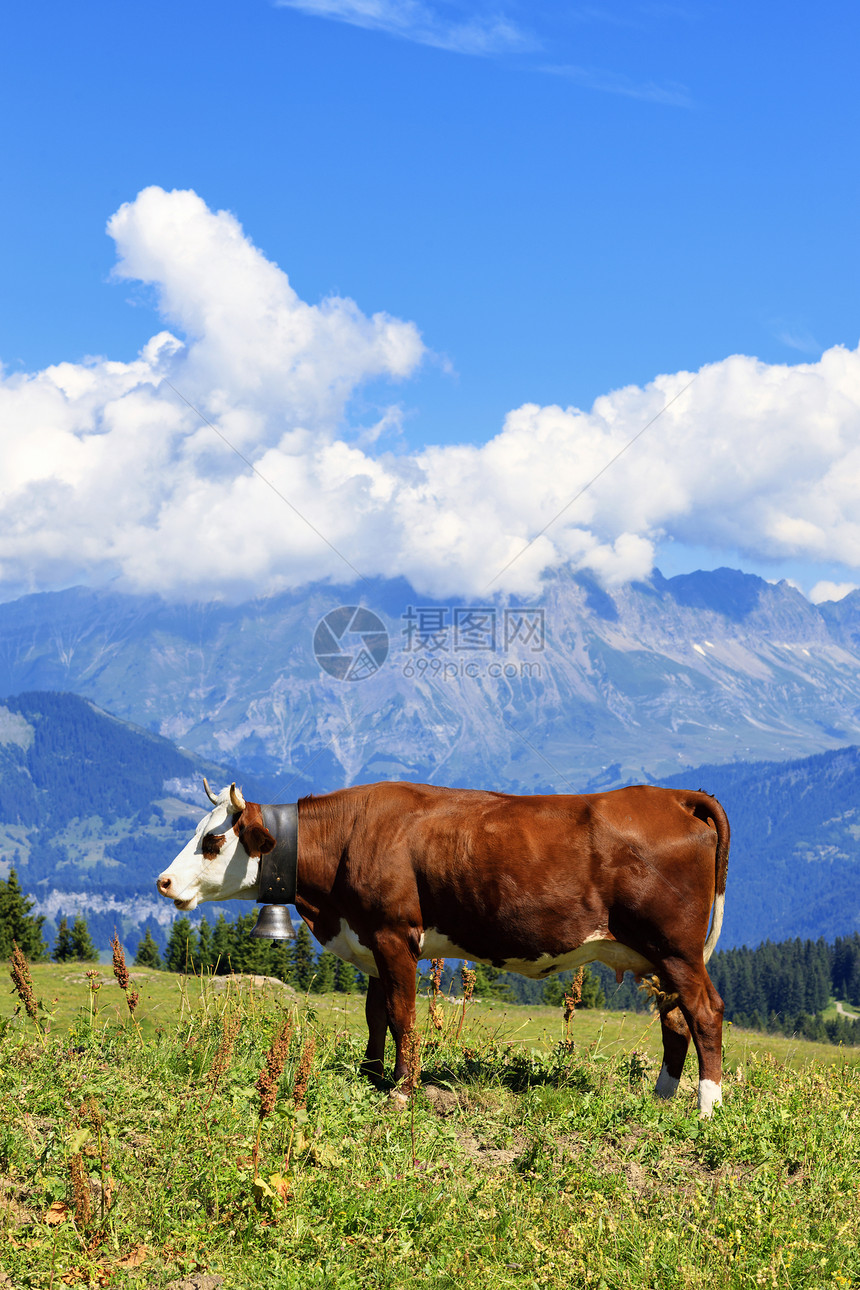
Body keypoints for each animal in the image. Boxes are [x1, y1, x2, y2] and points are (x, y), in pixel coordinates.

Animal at [157, 779, 732, 1114]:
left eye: (213, 841)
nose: (163, 882)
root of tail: (670, 795)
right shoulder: (370, 940)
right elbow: (375, 1014)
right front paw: (371, 1077)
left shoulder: (395, 935)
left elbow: (402, 1014)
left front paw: (402, 1090)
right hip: (654, 956)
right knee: (675, 1018)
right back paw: (660, 1098)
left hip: (676, 947)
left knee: (704, 1011)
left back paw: (707, 1106)